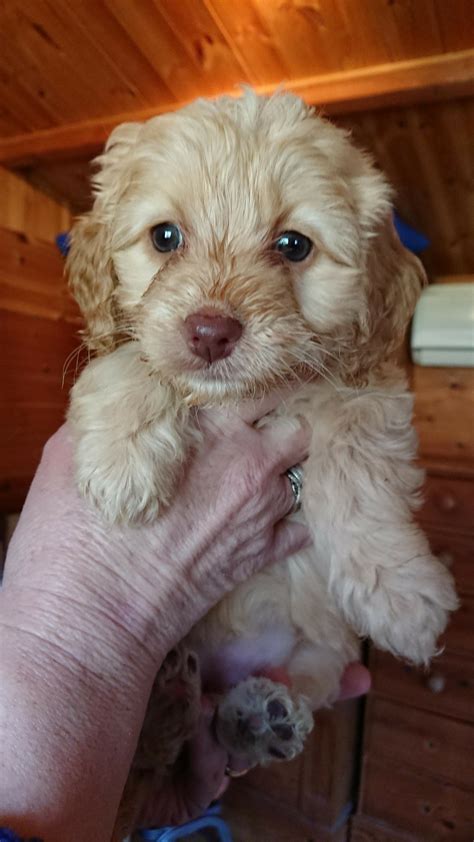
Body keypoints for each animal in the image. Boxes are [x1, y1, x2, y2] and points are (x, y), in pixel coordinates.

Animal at [65, 90, 456, 828]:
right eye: (165, 237)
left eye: (293, 245)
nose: (210, 331)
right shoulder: (128, 342)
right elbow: (133, 359)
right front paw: (124, 459)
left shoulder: (369, 393)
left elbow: (358, 469)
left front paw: (400, 592)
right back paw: (169, 701)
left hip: (316, 653)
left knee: (238, 714)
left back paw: (252, 718)